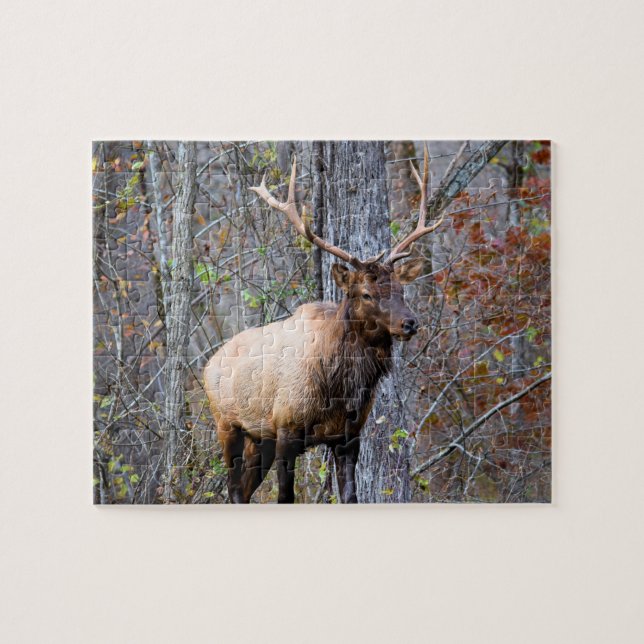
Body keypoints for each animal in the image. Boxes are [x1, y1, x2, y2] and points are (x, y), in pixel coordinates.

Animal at [203, 145, 443, 503]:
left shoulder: (348, 437)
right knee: (233, 489)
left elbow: (351, 497)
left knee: (243, 490)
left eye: (401, 289)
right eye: (366, 294)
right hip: (227, 424)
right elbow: (285, 497)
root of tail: (209, 363)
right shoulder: (286, 429)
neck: (340, 389)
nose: (410, 323)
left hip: (260, 439)